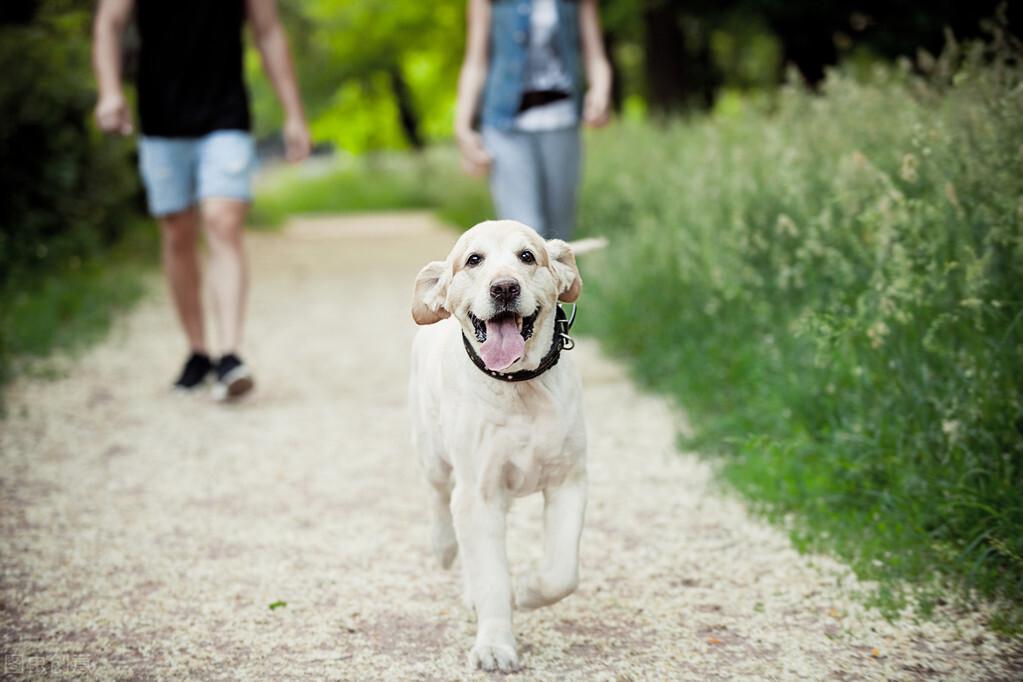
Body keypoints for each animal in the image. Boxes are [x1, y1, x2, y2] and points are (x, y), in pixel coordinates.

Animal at [405, 219, 585, 670]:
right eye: (474, 260)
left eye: (527, 256)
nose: (504, 288)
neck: (519, 387)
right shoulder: (479, 494)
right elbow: (491, 578)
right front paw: (495, 646)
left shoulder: (569, 481)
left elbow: (561, 573)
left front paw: (528, 589)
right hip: (432, 454)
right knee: (438, 500)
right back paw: (444, 548)